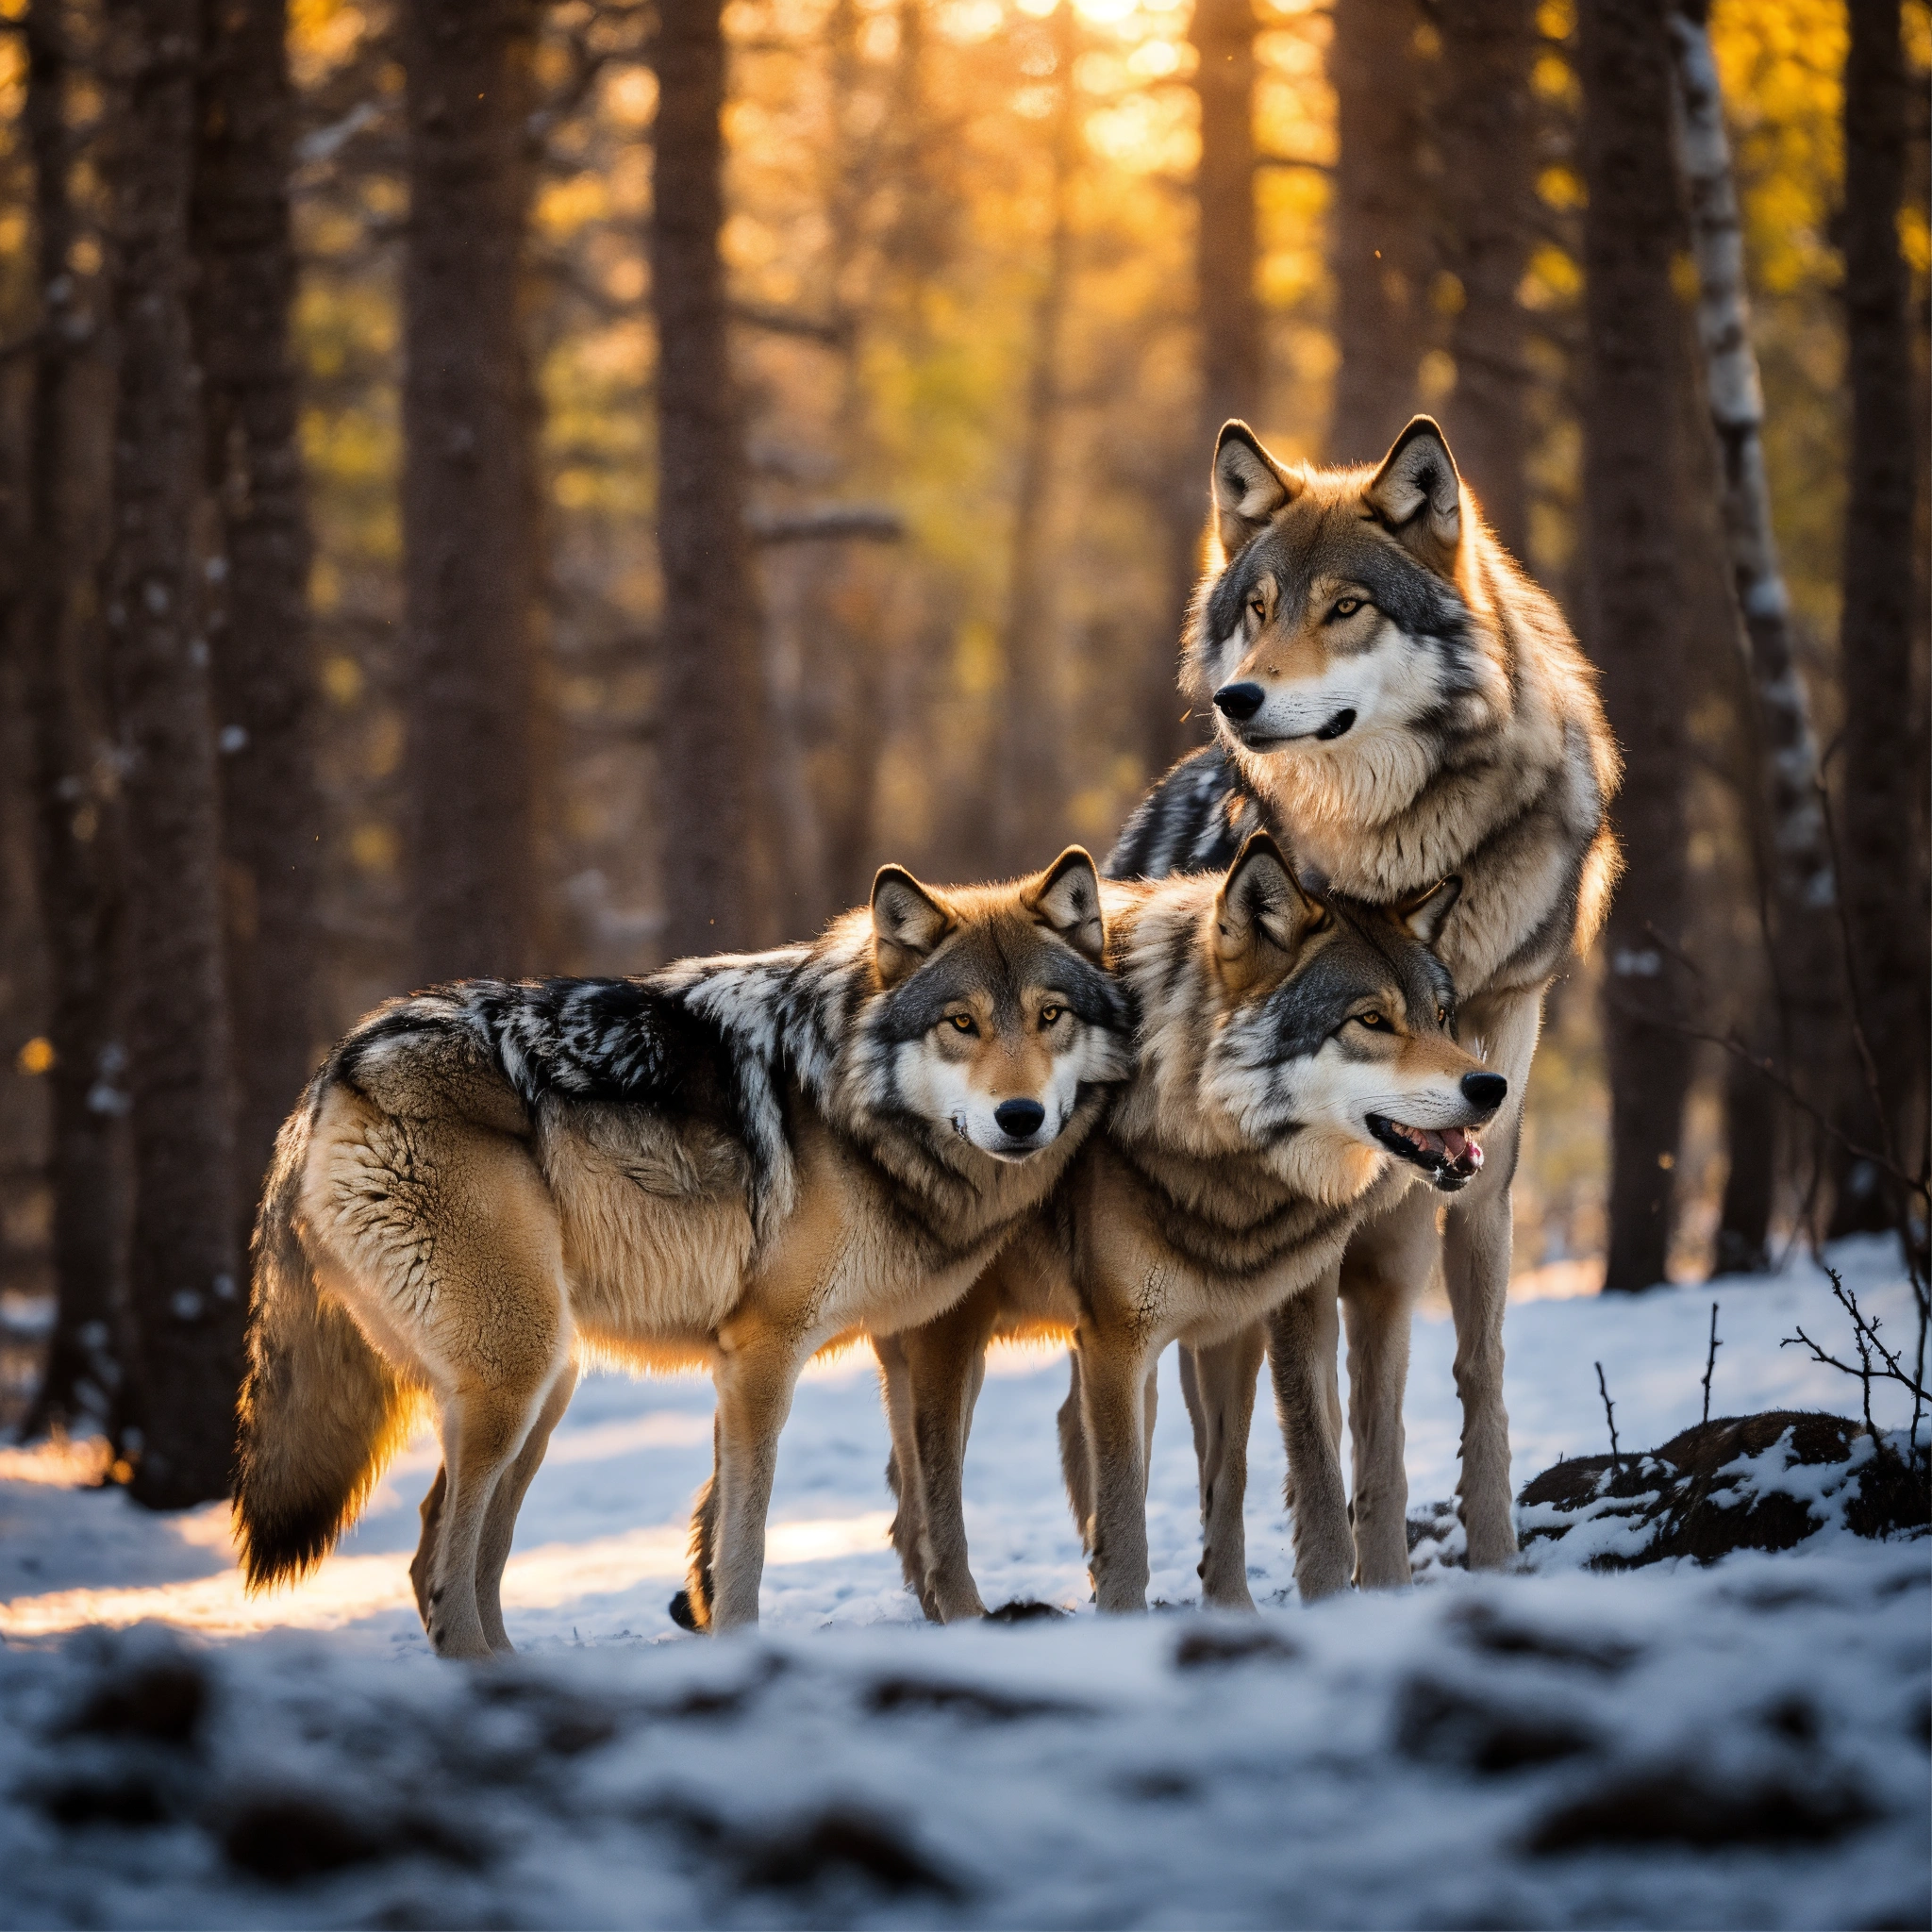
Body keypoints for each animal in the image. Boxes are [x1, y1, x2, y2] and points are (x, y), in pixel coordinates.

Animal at [231, 849, 1132, 1656]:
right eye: (962, 1023)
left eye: (1050, 1016)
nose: (1020, 1117)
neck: (854, 1104)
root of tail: (334, 1075)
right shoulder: (764, 1352)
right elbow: (749, 1536)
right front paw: (739, 1642)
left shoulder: (903, 1344)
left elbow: (931, 1511)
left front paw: (967, 1624)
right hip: (517, 1373)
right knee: (444, 1567)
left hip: (544, 1384)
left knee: (443, 1552)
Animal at [874, 833, 1503, 1619]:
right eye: (1370, 1020)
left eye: (1440, 1016)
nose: (1491, 1087)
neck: (1218, 1160)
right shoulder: (1118, 1343)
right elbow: (1125, 1508)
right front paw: (1123, 1616)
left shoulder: (1235, 1331)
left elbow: (1227, 1481)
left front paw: (1232, 1608)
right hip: (959, 1347)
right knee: (937, 1495)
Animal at [1105, 414, 1619, 1587]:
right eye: (1257, 609)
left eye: (1345, 607)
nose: (1236, 699)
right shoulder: (1311, 1253)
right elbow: (1312, 1441)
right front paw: (1334, 1590)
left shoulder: (1460, 1207)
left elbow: (1458, 1394)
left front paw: (1469, 1564)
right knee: (1220, 1465)